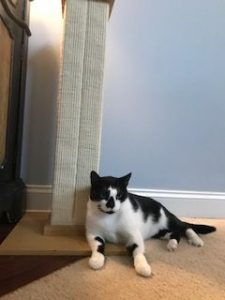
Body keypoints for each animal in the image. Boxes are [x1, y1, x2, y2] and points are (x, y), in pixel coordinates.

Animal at [85, 171, 215, 276]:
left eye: (119, 195)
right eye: (103, 194)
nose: (111, 205)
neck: (109, 217)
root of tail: (161, 206)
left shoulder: (134, 234)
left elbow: (138, 250)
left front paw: (142, 267)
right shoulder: (93, 233)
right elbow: (98, 245)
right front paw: (97, 260)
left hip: (166, 219)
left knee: (184, 226)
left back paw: (196, 240)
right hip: (160, 232)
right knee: (176, 233)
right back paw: (172, 244)